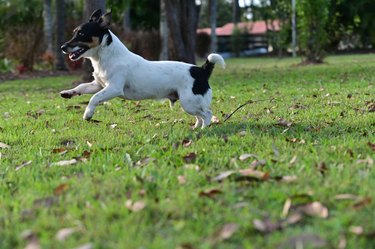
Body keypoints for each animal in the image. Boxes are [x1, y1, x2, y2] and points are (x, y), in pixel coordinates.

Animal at [60, 8, 225, 129]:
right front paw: (68, 93)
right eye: (74, 32)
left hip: (190, 102)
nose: (62, 47)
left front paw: (88, 113)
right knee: (200, 116)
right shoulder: (98, 85)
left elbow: (95, 98)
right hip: (190, 103)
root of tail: (202, 70)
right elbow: (81, 87)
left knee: (207, 114)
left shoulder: (114, 88)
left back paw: (203, 129)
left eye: (81, 33)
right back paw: (196, 128)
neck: (107, 57)